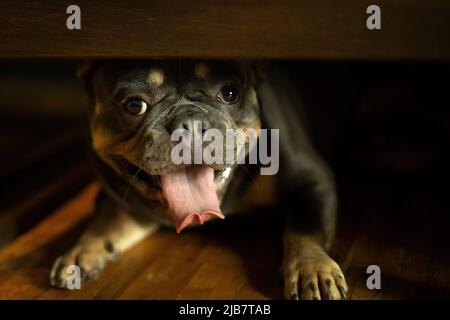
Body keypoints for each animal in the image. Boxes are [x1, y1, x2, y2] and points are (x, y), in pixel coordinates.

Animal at [49, 60, 346, 300]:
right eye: (134, 105)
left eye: (230, 93)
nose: (191, 123)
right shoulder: (121, 198)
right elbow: (106, 220)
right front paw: (82, 251)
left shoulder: (311, 179)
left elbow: (305, 225)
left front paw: (312, 268)